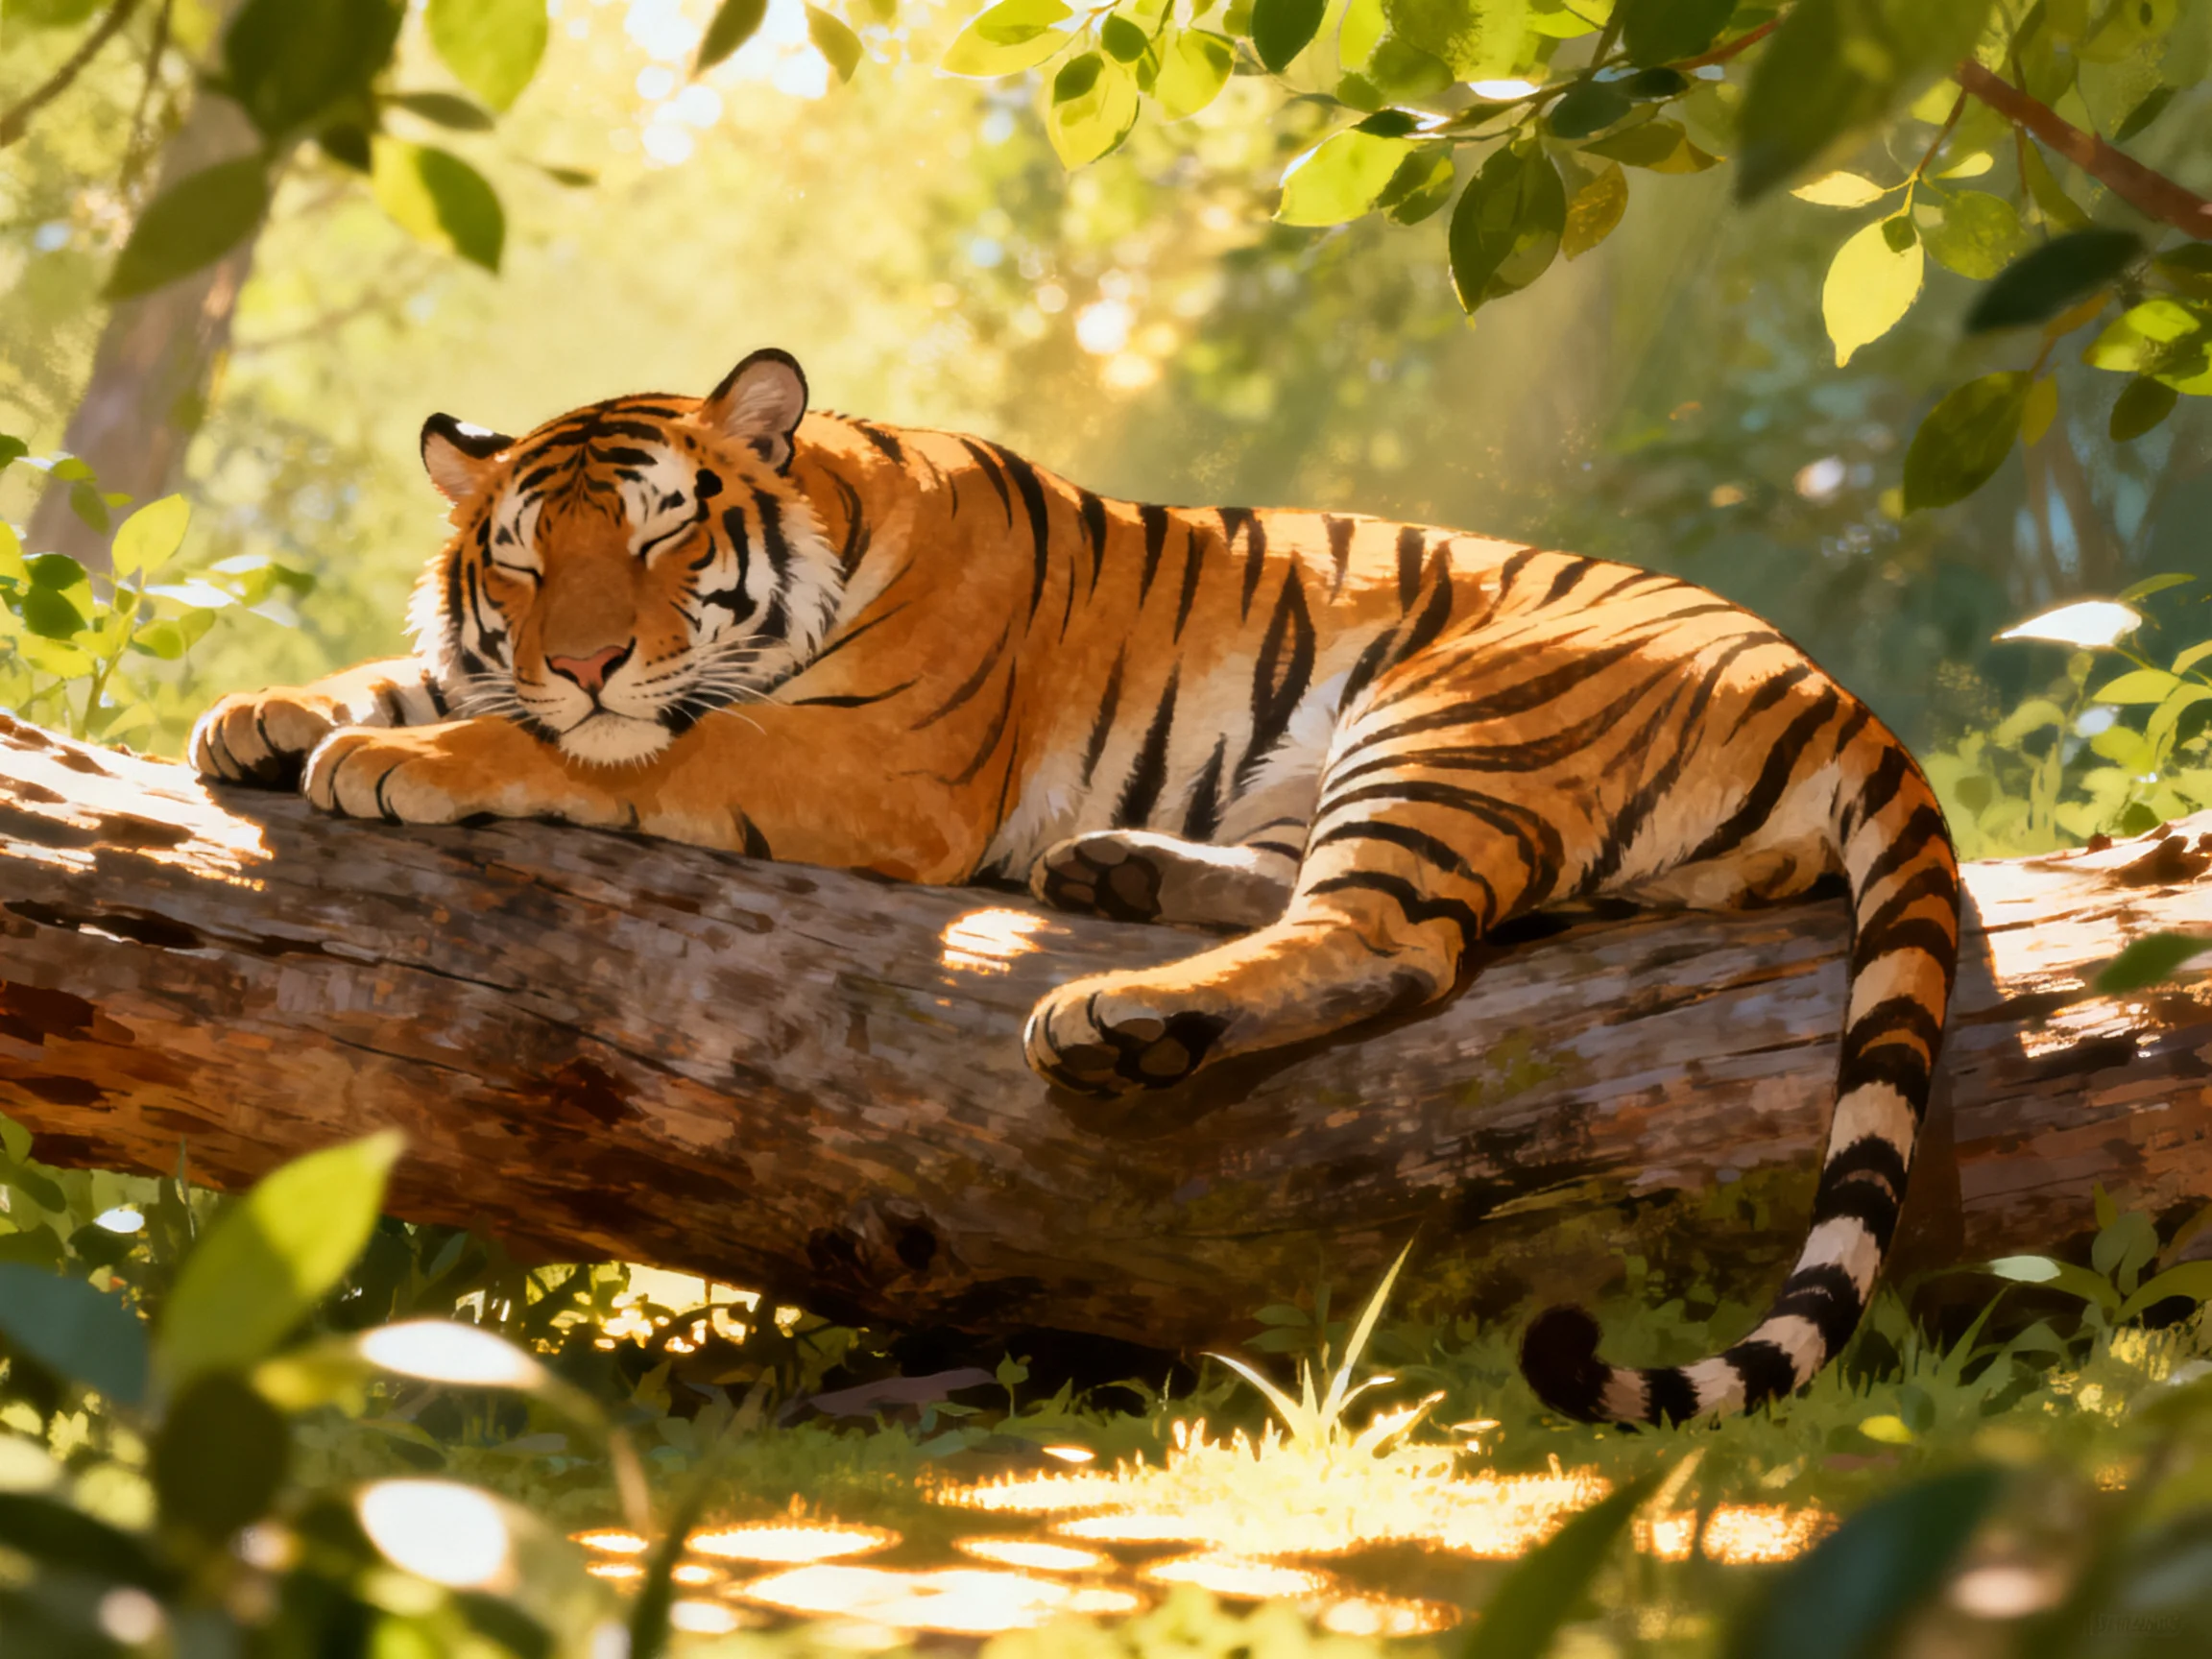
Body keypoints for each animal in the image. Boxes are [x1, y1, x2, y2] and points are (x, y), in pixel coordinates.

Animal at [190, 346, 1961, 1425]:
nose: (584, 655)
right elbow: (420, 674)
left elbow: (612, 752)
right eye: (518, 558)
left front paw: (405, 755)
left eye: (656, 537)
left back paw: (1113, 1015)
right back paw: (1114, 871)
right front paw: (267, 714)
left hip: (1454, 704)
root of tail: (1835, 688)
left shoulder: (863, 763)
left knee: (1393, 938)